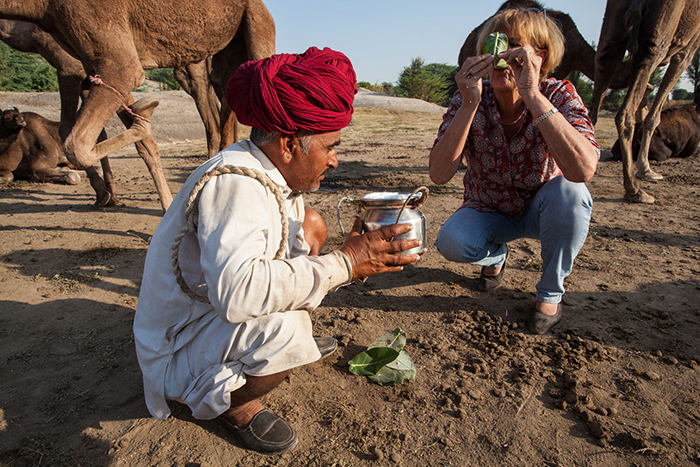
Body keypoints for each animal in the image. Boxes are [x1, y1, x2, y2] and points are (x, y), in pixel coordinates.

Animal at [0, 0, 278, 211]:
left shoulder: (87, 59)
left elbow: (74, 141)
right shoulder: (91, 61)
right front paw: (111, 196)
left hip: (256, 23)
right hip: (227, 50)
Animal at [592, 0, 700, 203]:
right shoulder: (688, 47)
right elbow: (654, 116)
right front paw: (646, 170)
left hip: (612, 29)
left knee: (603, 69)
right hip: (658, 34)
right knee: (624, 112)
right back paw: (635, 190)